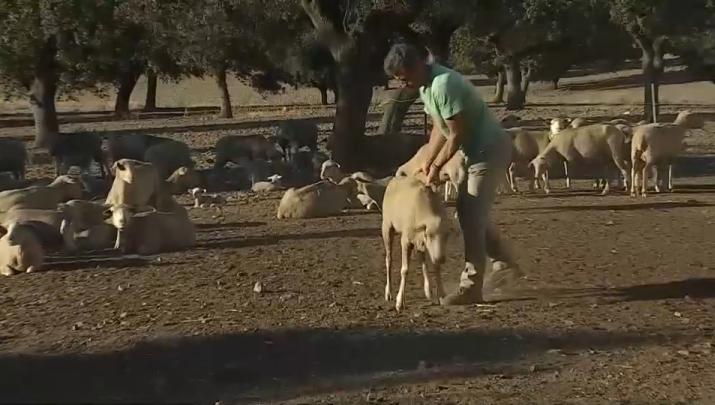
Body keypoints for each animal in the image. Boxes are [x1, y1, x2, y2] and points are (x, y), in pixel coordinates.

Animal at [380, 175, 448, 310]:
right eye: (429, 235)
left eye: (447, 236)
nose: (441, 259)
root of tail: (395, 178)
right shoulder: (406, 241)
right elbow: (404, 270)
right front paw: (399, 301)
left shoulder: (428, 245)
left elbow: (436, 266)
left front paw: (441, 294)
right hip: (387, 226)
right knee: (389, 259)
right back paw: (388, 292)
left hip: (418, 240)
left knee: (422, 259)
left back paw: (428, 290)